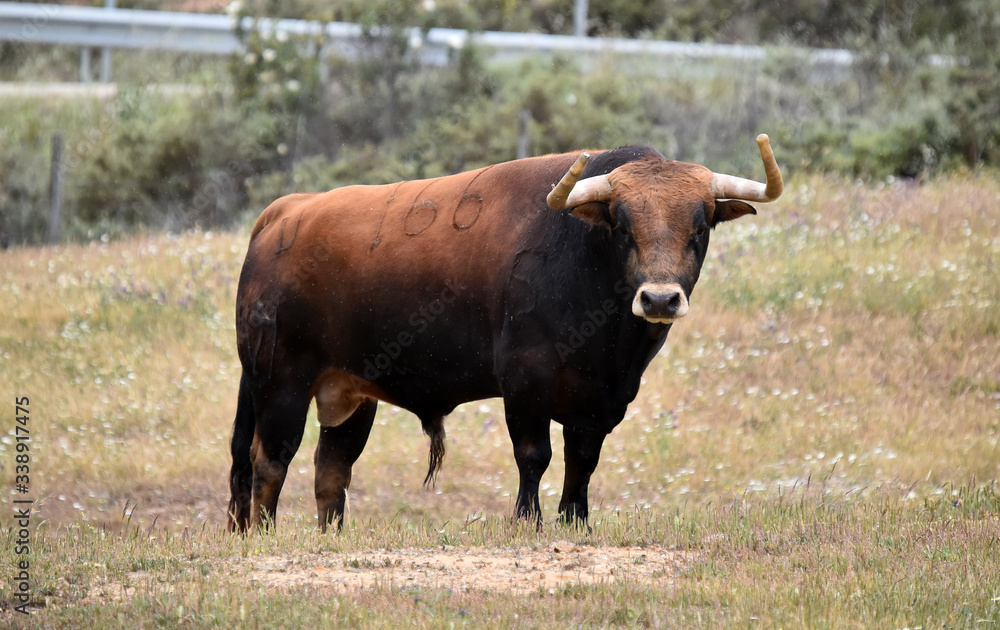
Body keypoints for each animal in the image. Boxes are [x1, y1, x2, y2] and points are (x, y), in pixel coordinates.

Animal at [227, 133, 780, 532]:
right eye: (623, 227)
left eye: (700, 228)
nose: (660, 299)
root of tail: (284, 211)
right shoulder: (525, 381)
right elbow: (534, 456)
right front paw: (527, 520)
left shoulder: (600, 401)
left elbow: (582, 463)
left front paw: (575, 522)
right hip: (280, 382)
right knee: (268, 460)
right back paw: (264, 534)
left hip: (349, 393)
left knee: (330, 471)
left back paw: (331, 537)